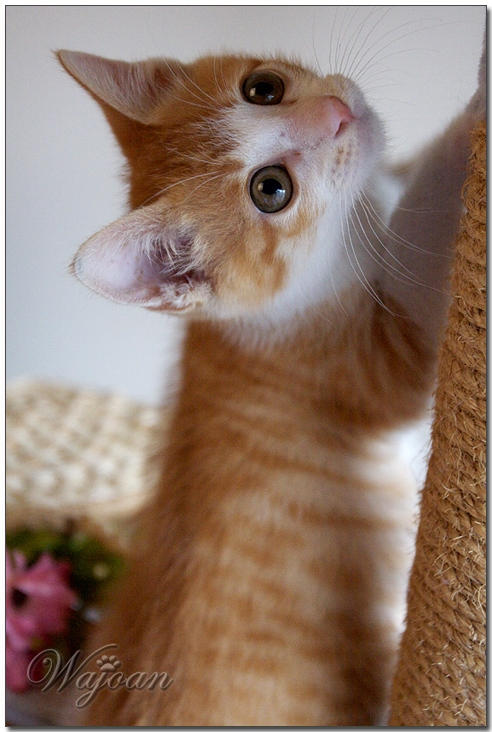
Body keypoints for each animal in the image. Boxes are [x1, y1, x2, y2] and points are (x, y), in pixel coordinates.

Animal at [57, 39, 484, 725]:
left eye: (263, 88)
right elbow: (426, 226)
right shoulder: (369, 358)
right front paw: (479, 95)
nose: (338, 113)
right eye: (271, 189)